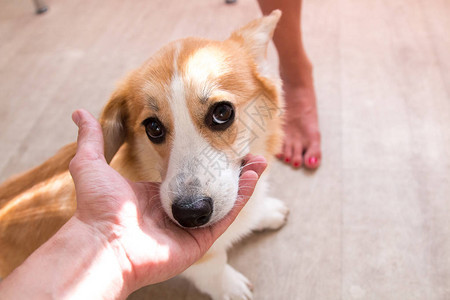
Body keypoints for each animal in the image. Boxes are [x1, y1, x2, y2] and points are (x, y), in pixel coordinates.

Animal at [0, 10, 288, 298]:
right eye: (153, 128)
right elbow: (214, 264)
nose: (189, 213)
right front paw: (230, 287)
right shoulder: (205, 259)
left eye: (222, 112)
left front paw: (267, 212)